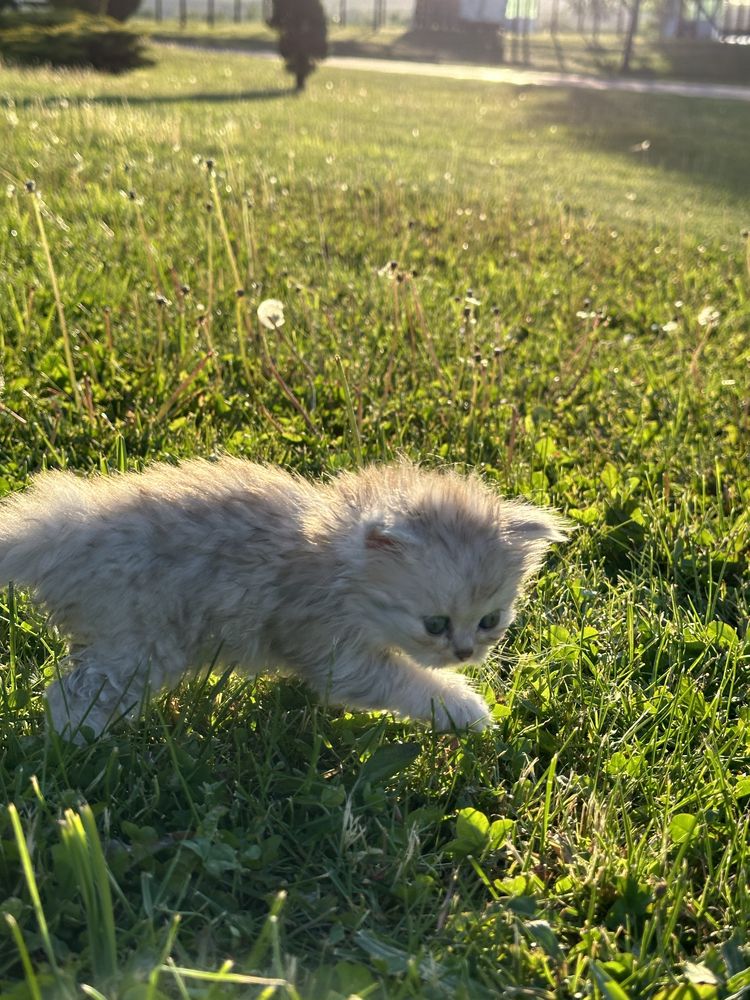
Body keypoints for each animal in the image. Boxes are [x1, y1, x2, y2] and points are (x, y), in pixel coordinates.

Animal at [0, 458, 568, 736]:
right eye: (435, 624)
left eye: (490, 620)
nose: (465, 652)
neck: (334, 561)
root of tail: (61, 530)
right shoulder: (330, 646)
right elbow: (407, 682)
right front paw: (466, 711)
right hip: (135, 648)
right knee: (69, 696)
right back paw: (77, 749)